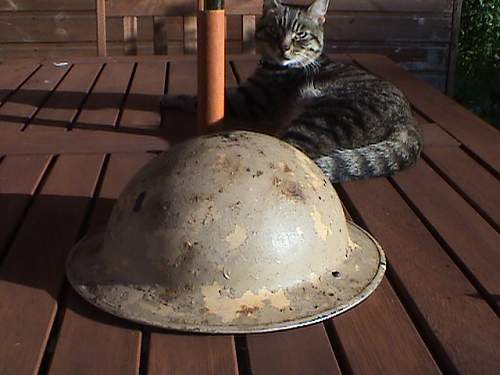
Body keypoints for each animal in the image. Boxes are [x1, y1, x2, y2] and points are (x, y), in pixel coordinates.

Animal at [162, 0, 424, 184]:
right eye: (274, 31)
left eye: (301, 34)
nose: (284, 47)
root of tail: (408, 122)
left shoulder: (249, 100)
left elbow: (195, 98)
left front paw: (169, 98)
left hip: (324, 118)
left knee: (293, 152)